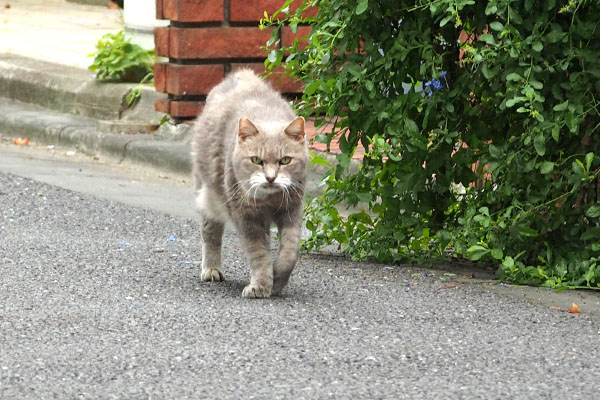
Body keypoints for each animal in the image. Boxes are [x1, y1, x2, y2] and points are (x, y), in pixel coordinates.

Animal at [191, 70, 308, 298]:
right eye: (256, 160)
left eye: (285, 160)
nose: (270, 178)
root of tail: (241, 74)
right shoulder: (245, 216)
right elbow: (259, 253)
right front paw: (260, 285)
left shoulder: (292, 210)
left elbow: (289, 251)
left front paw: (278, 278)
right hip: (207, 195)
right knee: (210, 233)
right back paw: (211, 269)